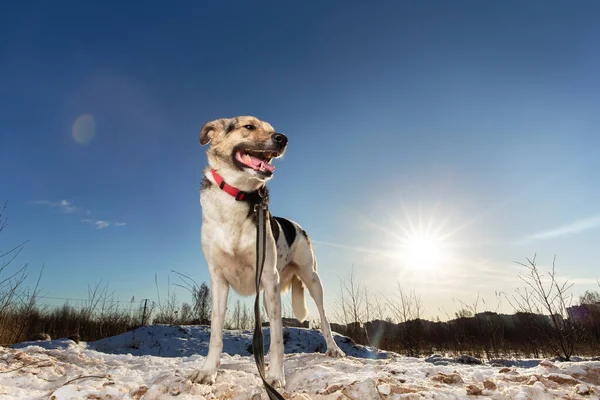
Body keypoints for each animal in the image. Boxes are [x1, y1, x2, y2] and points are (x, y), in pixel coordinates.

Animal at [190, 115, 344, 388]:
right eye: (249, 126)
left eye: (272, 129)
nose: (283, 139)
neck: (238, 196)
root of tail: (297, 226)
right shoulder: (218, 280)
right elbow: (216, 331)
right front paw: (209, 370)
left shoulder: (269, 278)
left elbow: (277, 339)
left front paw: (275, 376)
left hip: (312, 280)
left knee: (323, 318)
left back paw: (333, 348)